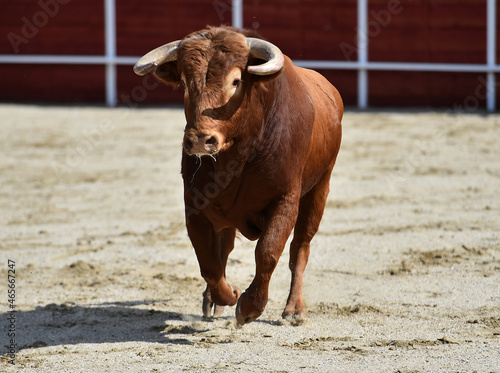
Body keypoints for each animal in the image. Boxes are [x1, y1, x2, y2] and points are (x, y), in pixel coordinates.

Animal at [135, 26, 342, 324]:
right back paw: (214, 300)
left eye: (235, 82)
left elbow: (268, 252)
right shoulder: (195, 206)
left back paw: (294, 309)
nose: (201, 140)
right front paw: (226, 295)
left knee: (300, 247)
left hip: (320, 188)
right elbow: (209, 262)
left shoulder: (285, 200)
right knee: (224, 250)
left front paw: (248, 307)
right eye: (185, 83)